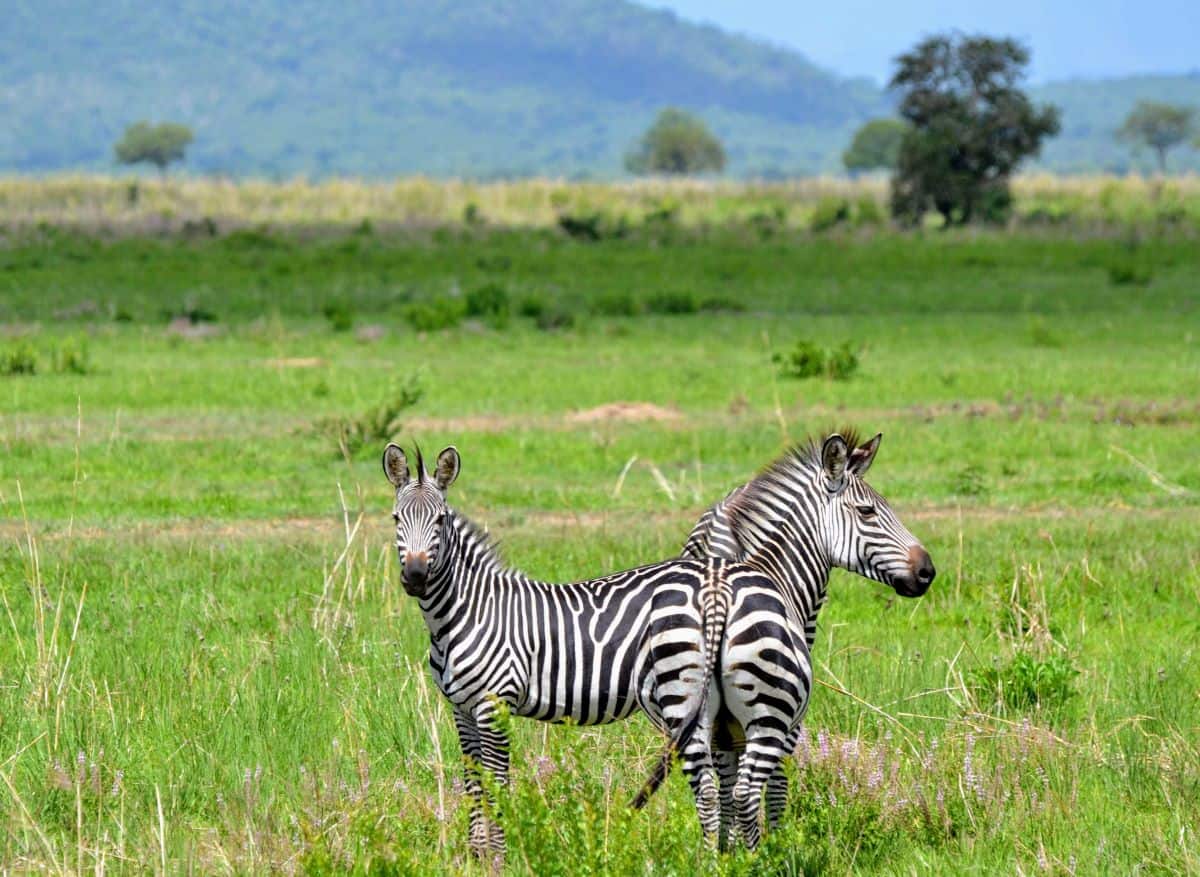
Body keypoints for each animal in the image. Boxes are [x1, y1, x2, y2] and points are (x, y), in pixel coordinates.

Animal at [386, 446, 816, 859]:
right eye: (395, 519)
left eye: (440, 521)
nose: (416, 577)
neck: (466, 612)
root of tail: (715, 578)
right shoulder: (462, 709)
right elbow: (475, 784)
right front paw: (476, 857)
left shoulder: (495, 704)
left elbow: (497, 784)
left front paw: (497, 859)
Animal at [676, 429, 936, 844]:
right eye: (868, 512)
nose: (928, 572)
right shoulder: (787, 716)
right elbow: (777, 782)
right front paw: (773, 839)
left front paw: (730, 846)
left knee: (713, 783)